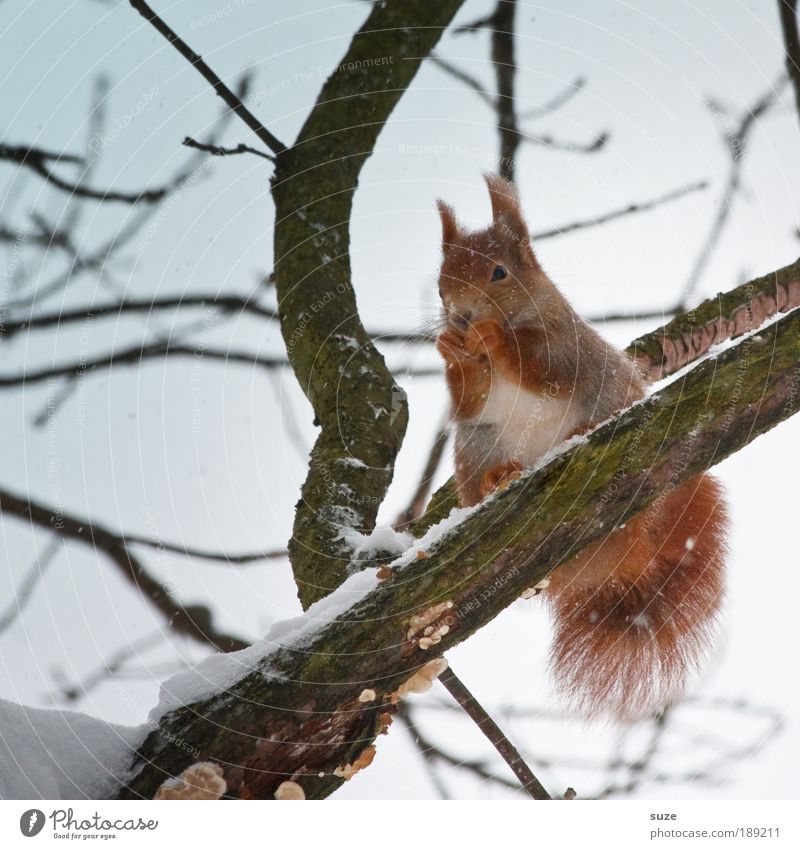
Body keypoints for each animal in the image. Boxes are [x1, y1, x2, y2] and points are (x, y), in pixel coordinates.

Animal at [434, 176, 728, 720]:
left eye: (499, 272)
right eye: (441, 284)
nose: (460, 317)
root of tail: (625, 561)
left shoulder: (568, 348)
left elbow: (545, 369)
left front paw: (495, 338)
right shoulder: (472, 406)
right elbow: (469, 397)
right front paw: (450, 350)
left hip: (607, 396)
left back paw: (579, 434)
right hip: (476, 443)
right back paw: (497, 479)